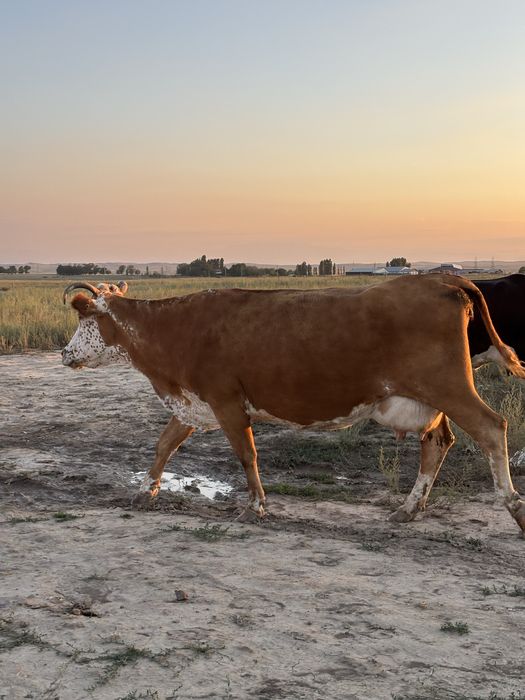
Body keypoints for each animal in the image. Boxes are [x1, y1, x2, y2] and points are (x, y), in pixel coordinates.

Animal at [61, 275, 525, 534]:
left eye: (85, 318)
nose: (64, 354)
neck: (178, 328)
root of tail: (441, 280)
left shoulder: (227, 402)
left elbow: (246, 455)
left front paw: (254, 506)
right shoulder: (196, 402)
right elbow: (164, 445)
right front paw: (145, 491)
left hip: (449, 387)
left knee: (491, 428)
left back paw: (514, 507)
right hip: (425, 398)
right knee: (438, 442)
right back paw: (408, 509)